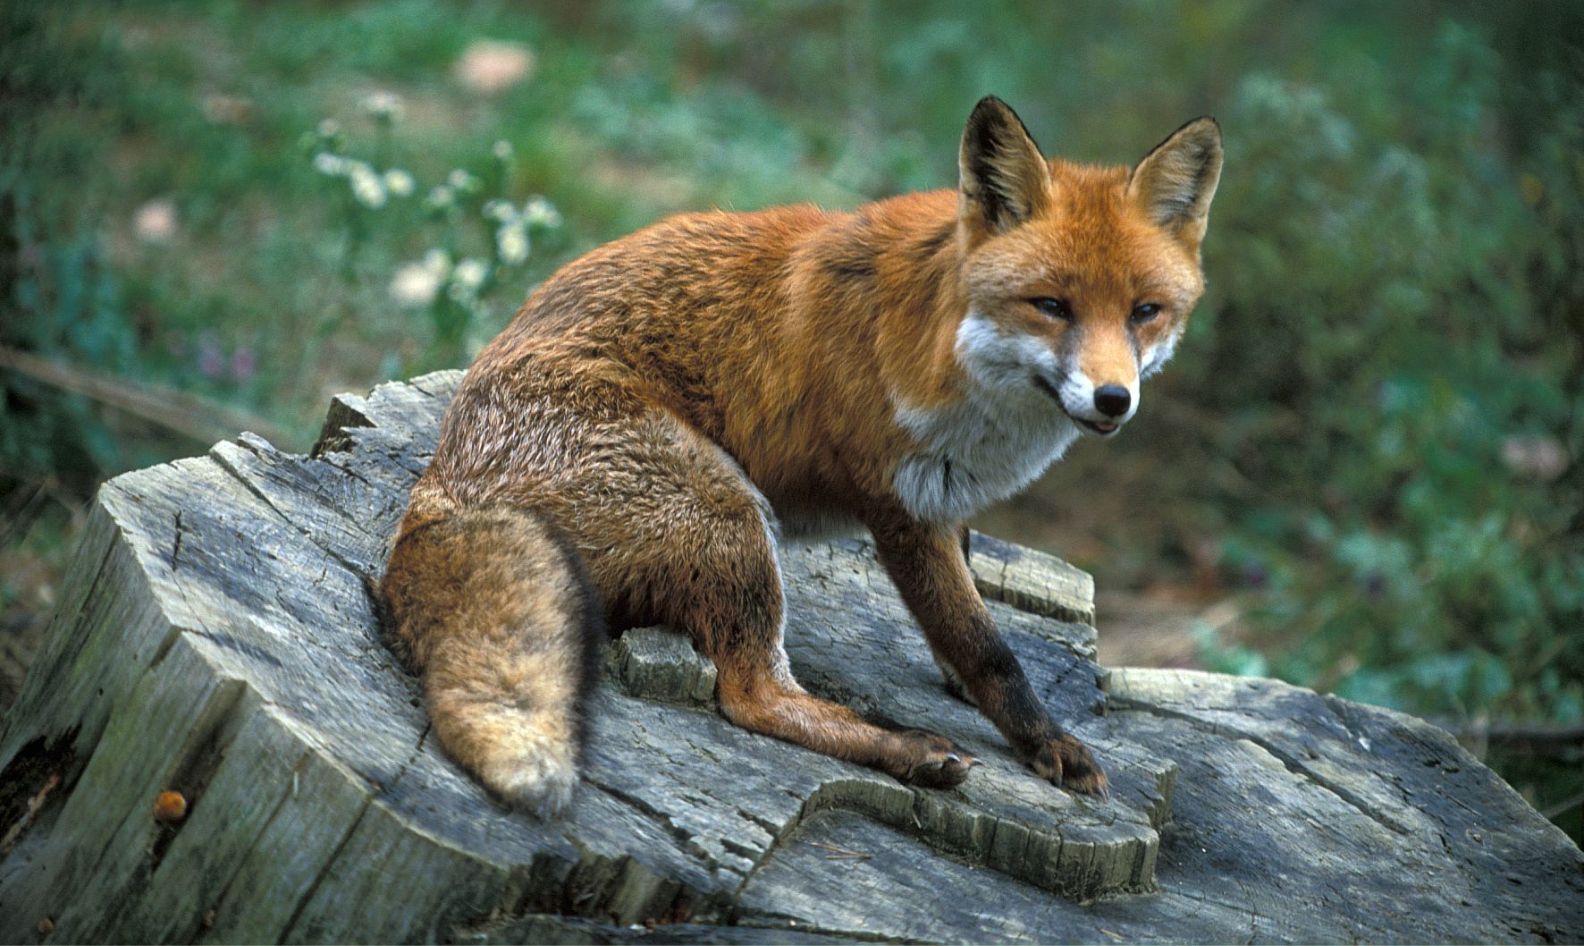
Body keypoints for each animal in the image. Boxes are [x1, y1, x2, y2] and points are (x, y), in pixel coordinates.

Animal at [379, 96, 1222, 816]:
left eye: (1145, 312)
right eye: (1051, 306)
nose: (1113, 399)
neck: (955, 355)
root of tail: (437, 493)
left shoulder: (950, 501)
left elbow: (965, 615)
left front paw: (968, 688)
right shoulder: (904, 507)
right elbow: (990, 649)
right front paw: (1043, 739)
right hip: (732, 516)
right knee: (752, 697)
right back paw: (903, 749)